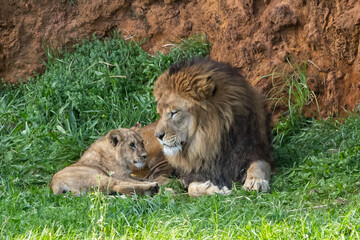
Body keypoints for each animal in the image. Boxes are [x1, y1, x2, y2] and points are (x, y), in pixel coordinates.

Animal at [146, 58, 272, 197]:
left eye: (174, 112)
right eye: (160, 113)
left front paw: (255, 181)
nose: (158, 135)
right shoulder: (196, 172)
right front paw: (215, 190)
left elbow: (258, 166)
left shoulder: (254, 152)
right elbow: (192, 189)